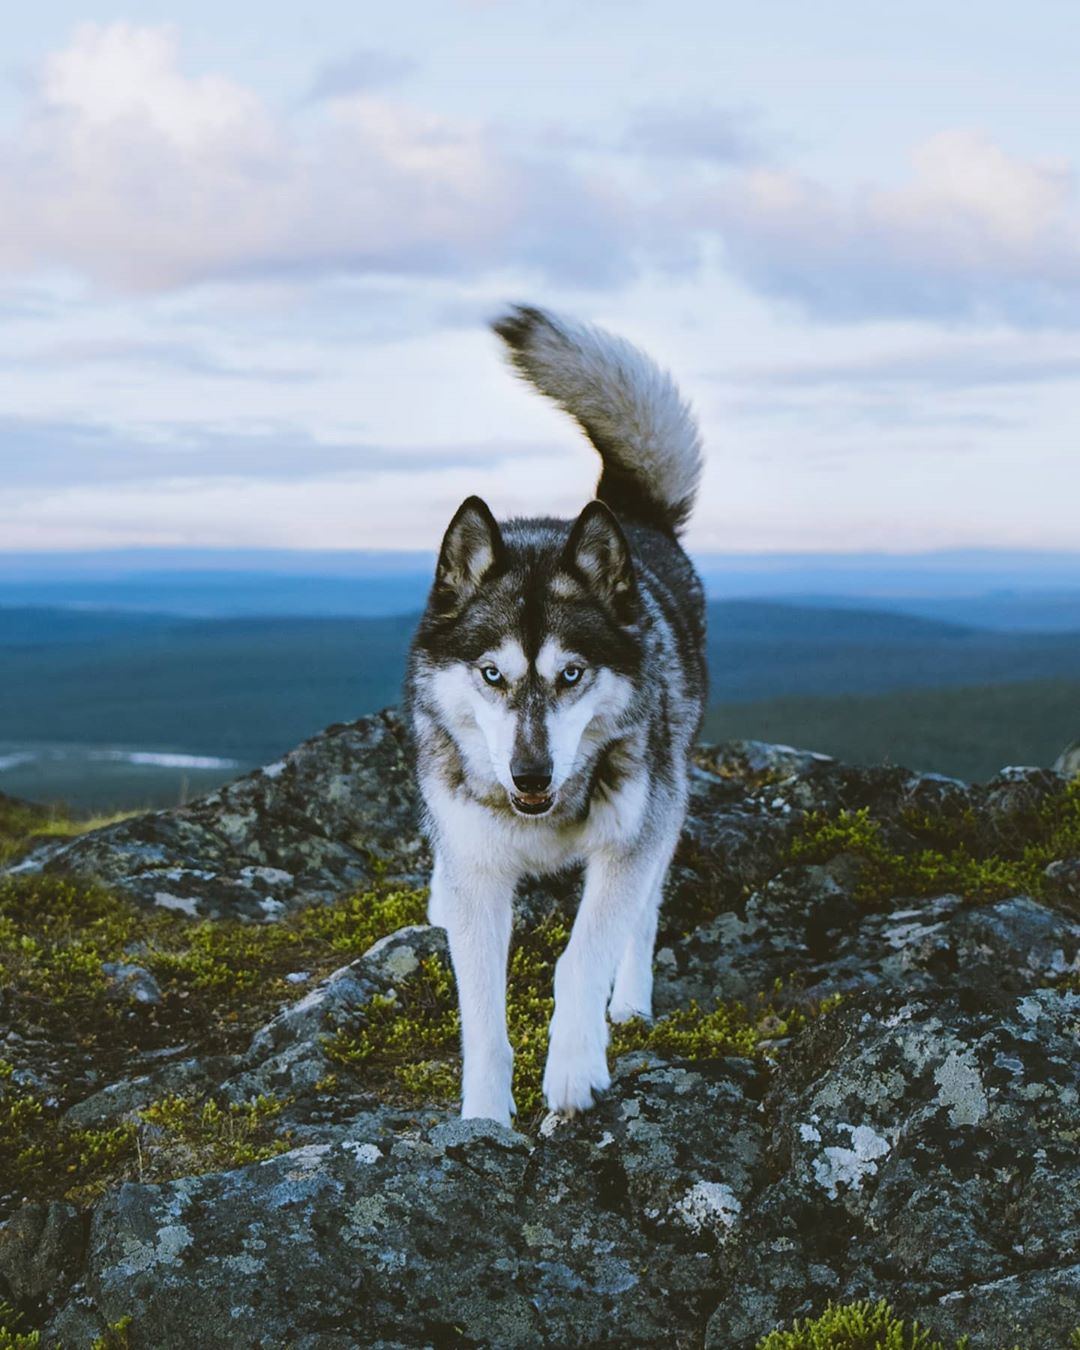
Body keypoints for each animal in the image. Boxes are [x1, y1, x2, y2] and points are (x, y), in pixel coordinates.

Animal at [405, 309, 707, 1128]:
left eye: (571, 674)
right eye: (492, 675)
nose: (530, 775)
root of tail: (630, 518)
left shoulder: (629, 842)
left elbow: (581, 959)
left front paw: (574, 1073)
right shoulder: (482, 876)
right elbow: (481, 1011)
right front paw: (484, 1116)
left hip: (667, 801)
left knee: (646, 912)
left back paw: (630, 1001)